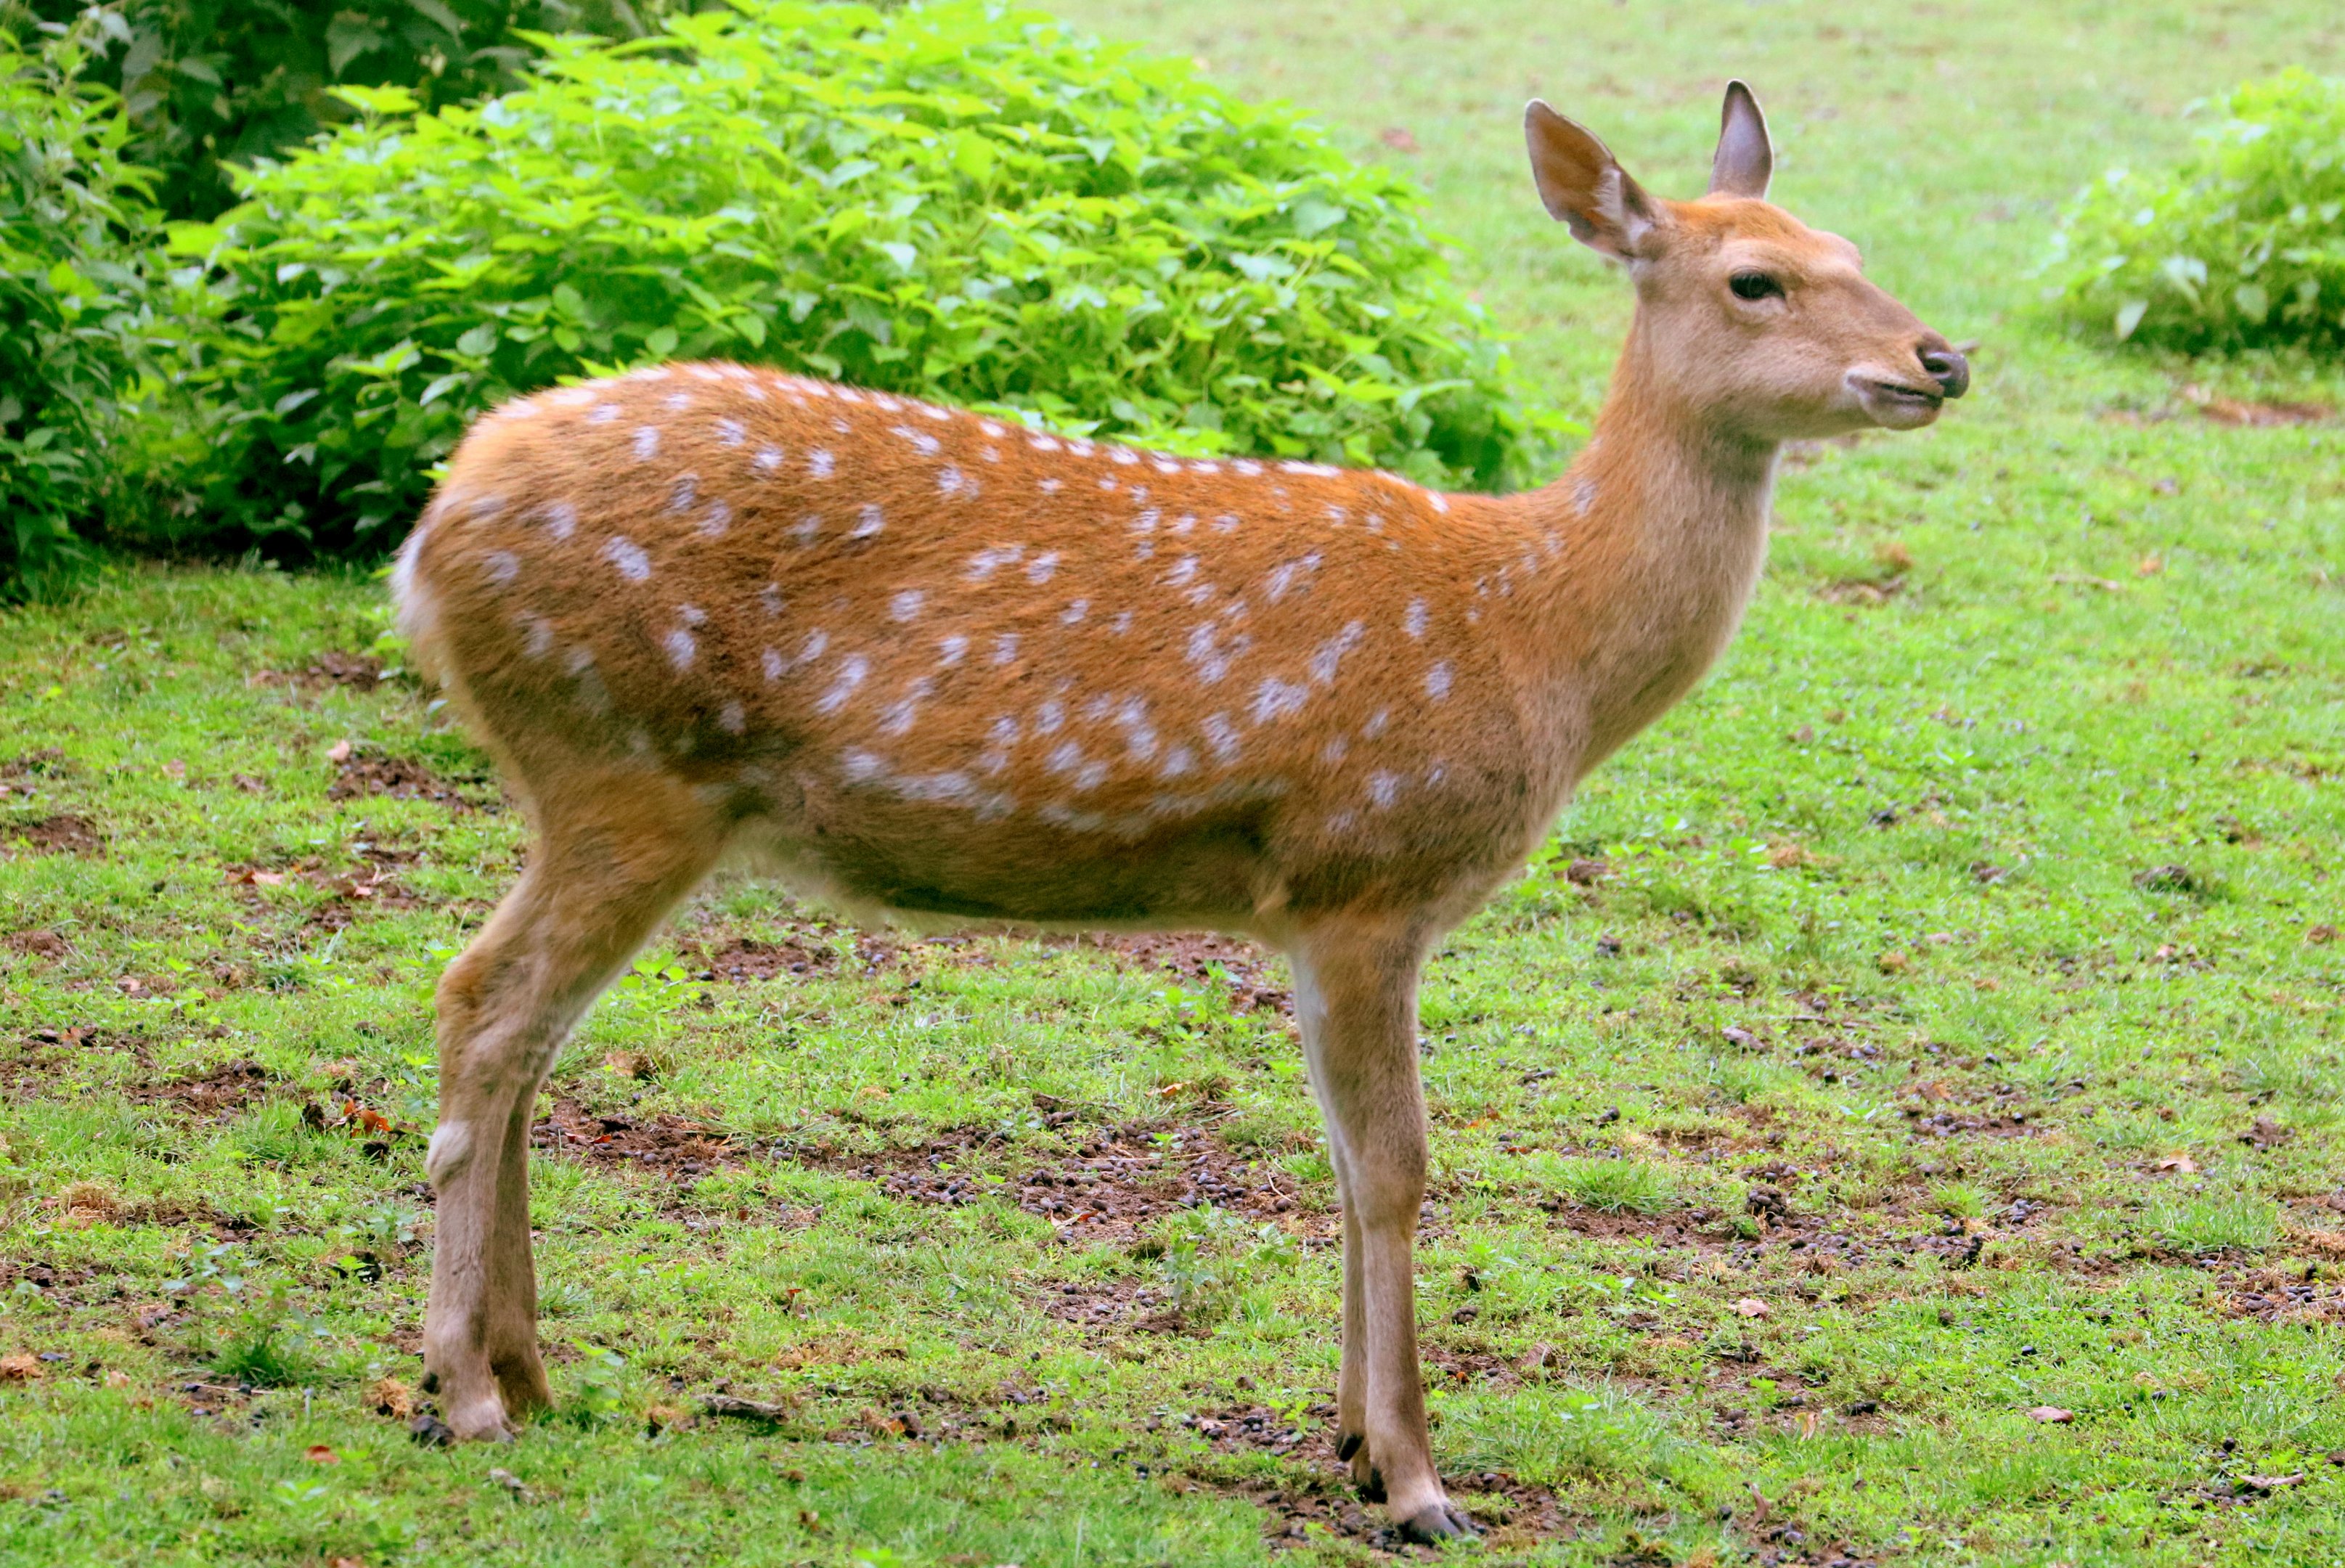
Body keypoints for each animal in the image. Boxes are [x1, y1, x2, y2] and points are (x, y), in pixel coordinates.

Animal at [389, 80, 1966, 1540]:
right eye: (1753, 280)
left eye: (1848, 245)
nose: (1938, 358)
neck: (1537, 634)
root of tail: (431, 528)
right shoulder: (1364, 871)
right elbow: (1394, 1170)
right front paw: (1415, 1480)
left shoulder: (1318, 913)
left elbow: (1341, 1163)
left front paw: (1348, 1442)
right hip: (625, 764)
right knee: (485, 1006)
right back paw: (465, 1392)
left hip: (606, 788)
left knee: (519, 1030)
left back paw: (534, 1372)